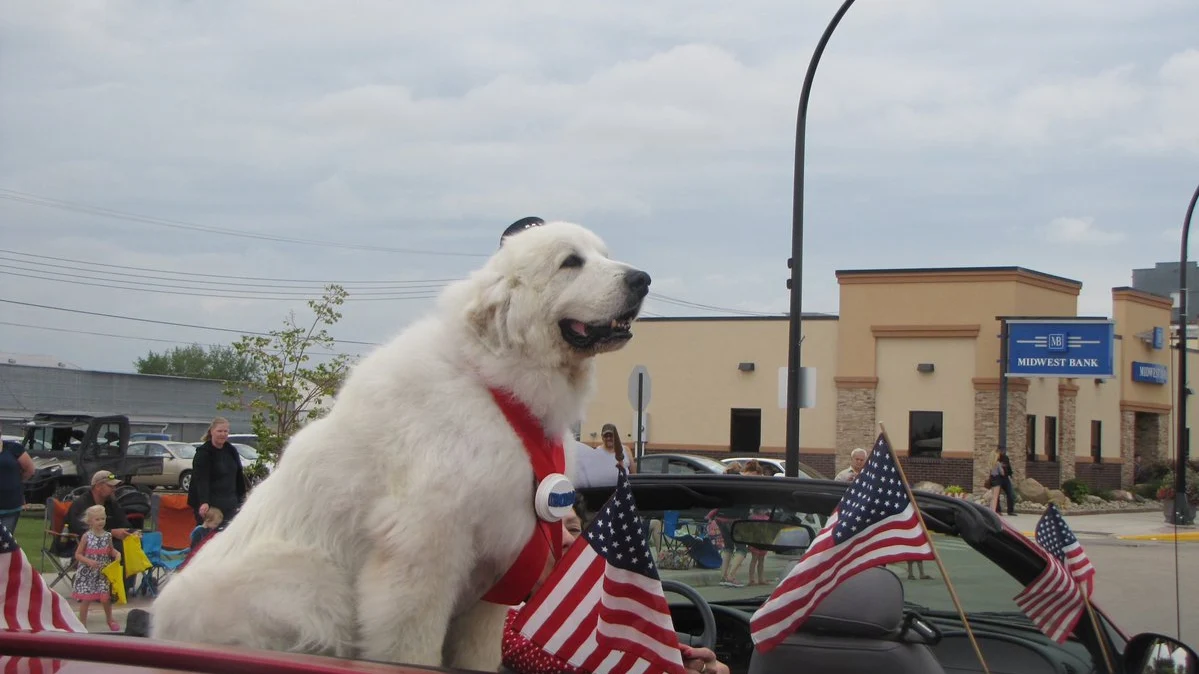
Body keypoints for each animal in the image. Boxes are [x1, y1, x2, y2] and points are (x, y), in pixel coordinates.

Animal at [152, 219, 657, 666]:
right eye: (570, 262)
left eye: (603, 255)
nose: (642, 279)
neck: (493, 385)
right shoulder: (422, 554)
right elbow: (412, 646)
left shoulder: (500, 571)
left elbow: (478, 652)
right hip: (310, 586)